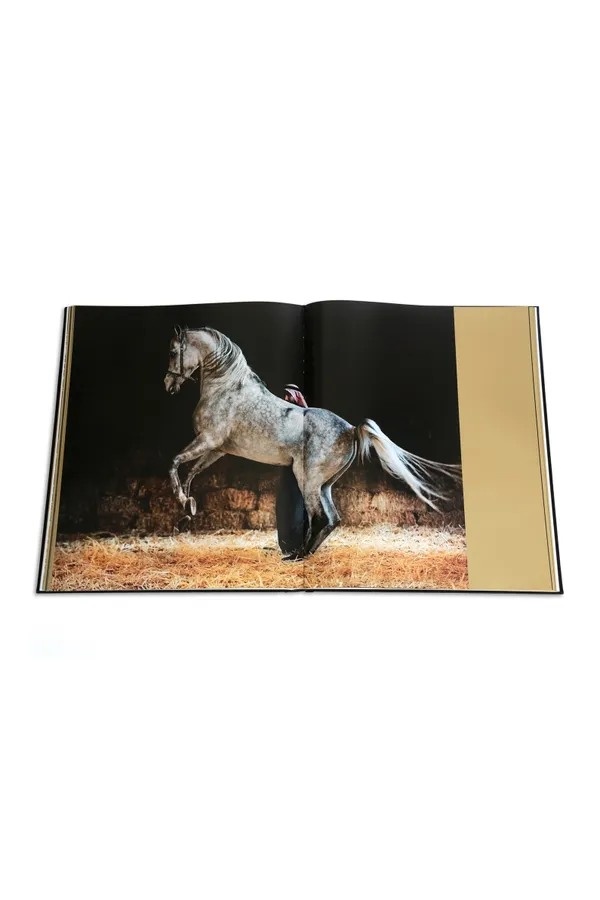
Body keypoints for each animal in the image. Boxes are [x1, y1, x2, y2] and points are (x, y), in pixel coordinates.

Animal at [164, 325, 461, 559]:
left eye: (173, 351)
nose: (168, 385)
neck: (226, 388)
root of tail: (351, 429)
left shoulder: (207, 440)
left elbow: (175, 463)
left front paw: (182, 500)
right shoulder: (217, 449)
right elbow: (191, 472)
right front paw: (188, 506)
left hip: (308, 480)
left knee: (320, 517)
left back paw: (299, 556)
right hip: (324, 484)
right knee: (332, 519)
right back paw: (303, 553)